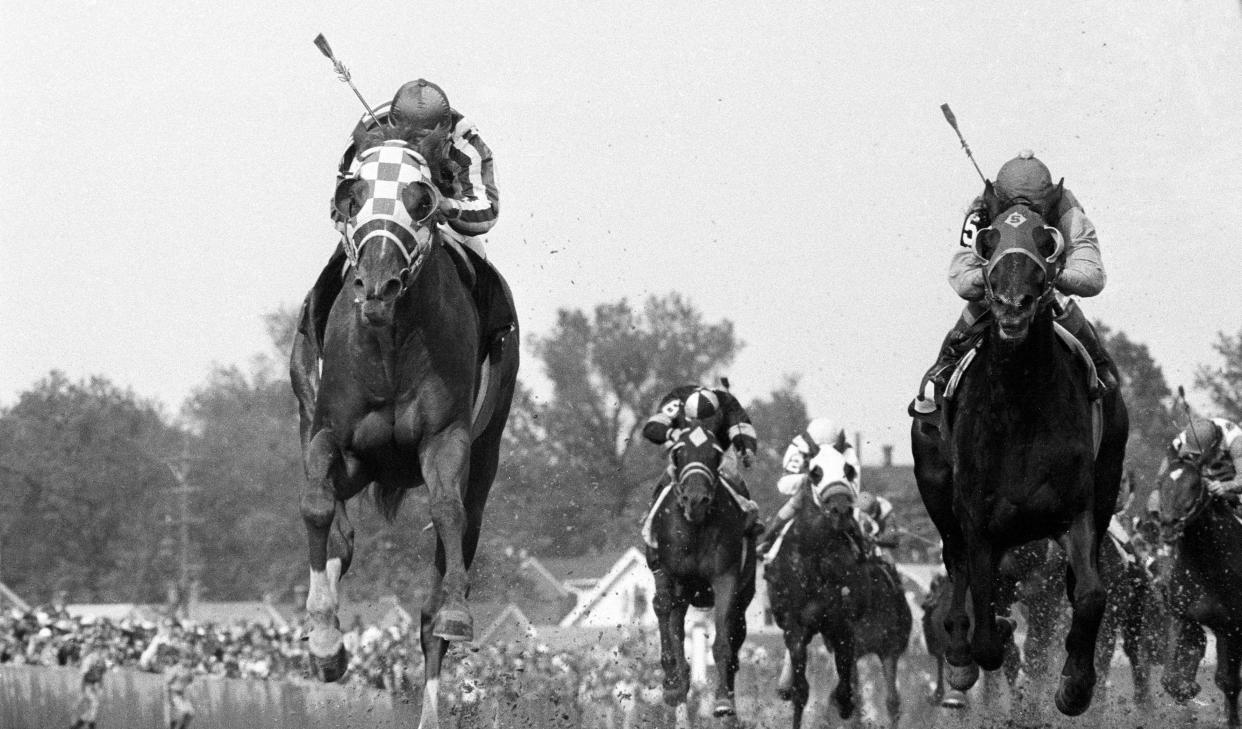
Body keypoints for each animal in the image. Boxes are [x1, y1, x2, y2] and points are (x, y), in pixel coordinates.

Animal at [290, 132, 519, 729]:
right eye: (353, 195)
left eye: (421, 200)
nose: (377, 285)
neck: (389, 346)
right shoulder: (331, 435)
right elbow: (316, 505)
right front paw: (325, 638)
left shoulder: (446, 438)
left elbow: (448, 512)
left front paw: (456, 611)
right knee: (338, 530)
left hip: (484, 451)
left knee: (455, 541)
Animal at [650, 424, 755, 725]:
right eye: (678, 452)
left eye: (715, 454)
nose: (695, 500)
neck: (696, 528)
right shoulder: (671, 573)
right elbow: (667, 616)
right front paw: (673, 684)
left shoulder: (725, 577)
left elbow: (723, 640)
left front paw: (722, 702)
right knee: (669, 617)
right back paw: (676, 685)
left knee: (735, 634)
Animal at [760, 449, 909, 729]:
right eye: (814, 472)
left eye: (848, 470)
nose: (841, 510)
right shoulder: (797, 627)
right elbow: (802, 691)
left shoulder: (849, 630)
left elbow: (850, 691)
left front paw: (846, 707)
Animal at [909, 182, 1132, 720]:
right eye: (986, 238)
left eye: (1046, 240)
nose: (1012, 305)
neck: (1019, 407)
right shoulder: (979, 523)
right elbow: (988, 631)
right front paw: (969, 655)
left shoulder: (1075, 511)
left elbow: (1089, 595)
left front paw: (1074, 687)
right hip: (938, 489)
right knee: (957, 568)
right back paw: (960, 659)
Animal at [1152, 442, 1242, 725]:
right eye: (1161, 483)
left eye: (1194, 484)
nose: (1168, 526)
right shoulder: (1180, 614)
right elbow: (1170, 677)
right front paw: (1188, 689)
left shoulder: (1232, 626)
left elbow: (1229, 682)